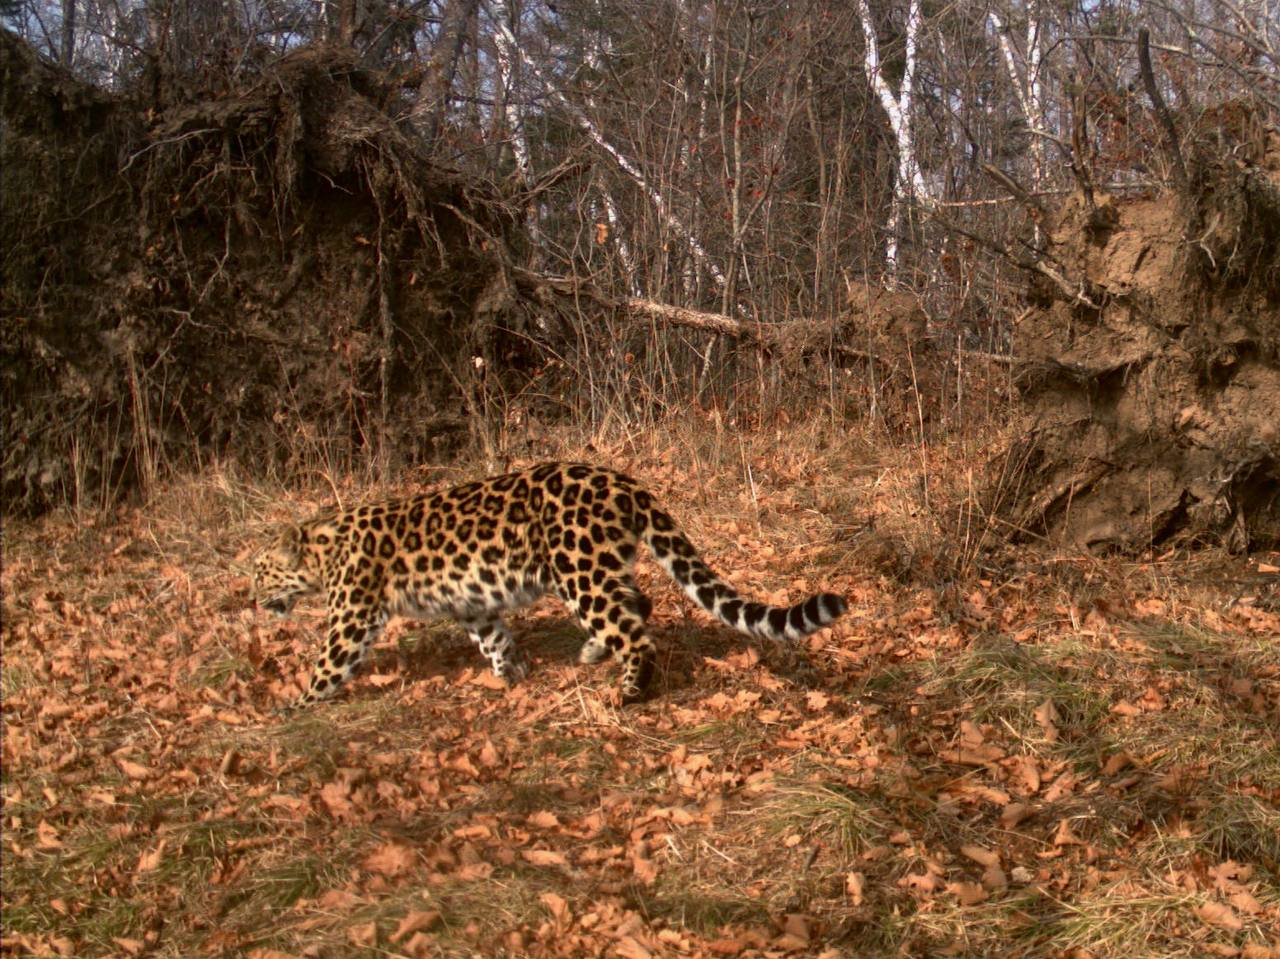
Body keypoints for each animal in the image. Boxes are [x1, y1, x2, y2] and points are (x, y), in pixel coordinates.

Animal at [253, 460, 844, 701]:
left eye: (260, 572)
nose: (256, 603)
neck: (321, 549)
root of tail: (624, 481)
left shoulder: (353, 613)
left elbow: (329, 663)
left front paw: (293, 708)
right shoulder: (472, 605)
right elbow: (492, 638)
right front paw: (510, 674)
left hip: (578, 569)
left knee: (634, 632)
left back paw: (631, 691)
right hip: (589, 567)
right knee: (637, 605)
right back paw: (592, 654)